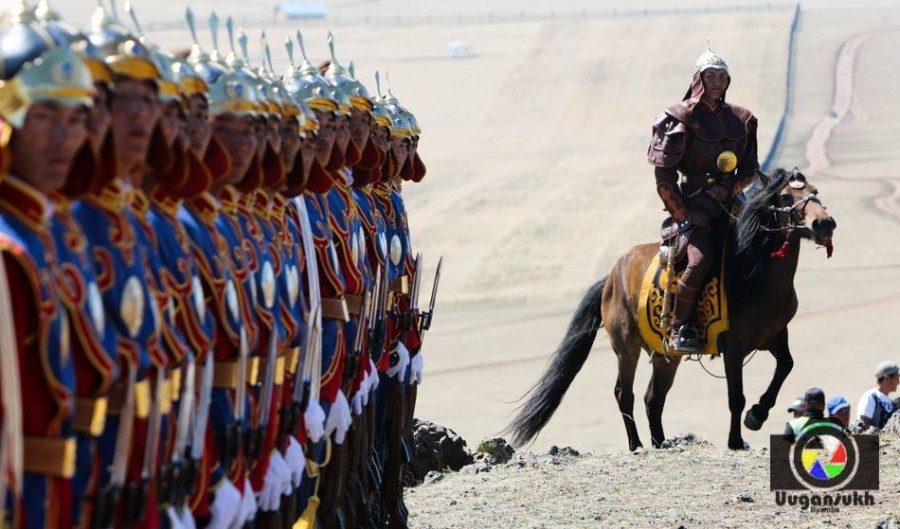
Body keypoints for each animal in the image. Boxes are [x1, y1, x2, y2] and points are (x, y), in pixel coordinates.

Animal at [506, 168, 836, 450]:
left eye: (815, 192)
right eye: (786, 197)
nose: (824, 224)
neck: (753, 272)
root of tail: (610, 277)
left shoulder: (775, 336)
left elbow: (786, 366)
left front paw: (757, 415)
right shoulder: (734, 346)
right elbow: (736, 396)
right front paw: (736, 439)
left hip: (665, 355)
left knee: (653, 399)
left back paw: (661, 443)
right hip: (626, 346)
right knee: (624, 394)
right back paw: (637, 445)